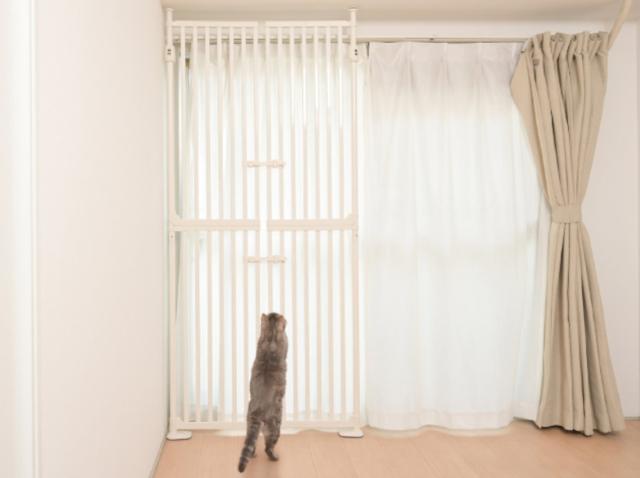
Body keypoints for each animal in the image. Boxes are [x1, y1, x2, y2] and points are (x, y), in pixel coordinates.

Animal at [238, 312, 288, 473]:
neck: (271, 336)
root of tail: (258, 409)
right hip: (275, 426)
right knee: (269, 447)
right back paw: (274, 457)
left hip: (249, 422)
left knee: (251, 443)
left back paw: (253, 454)